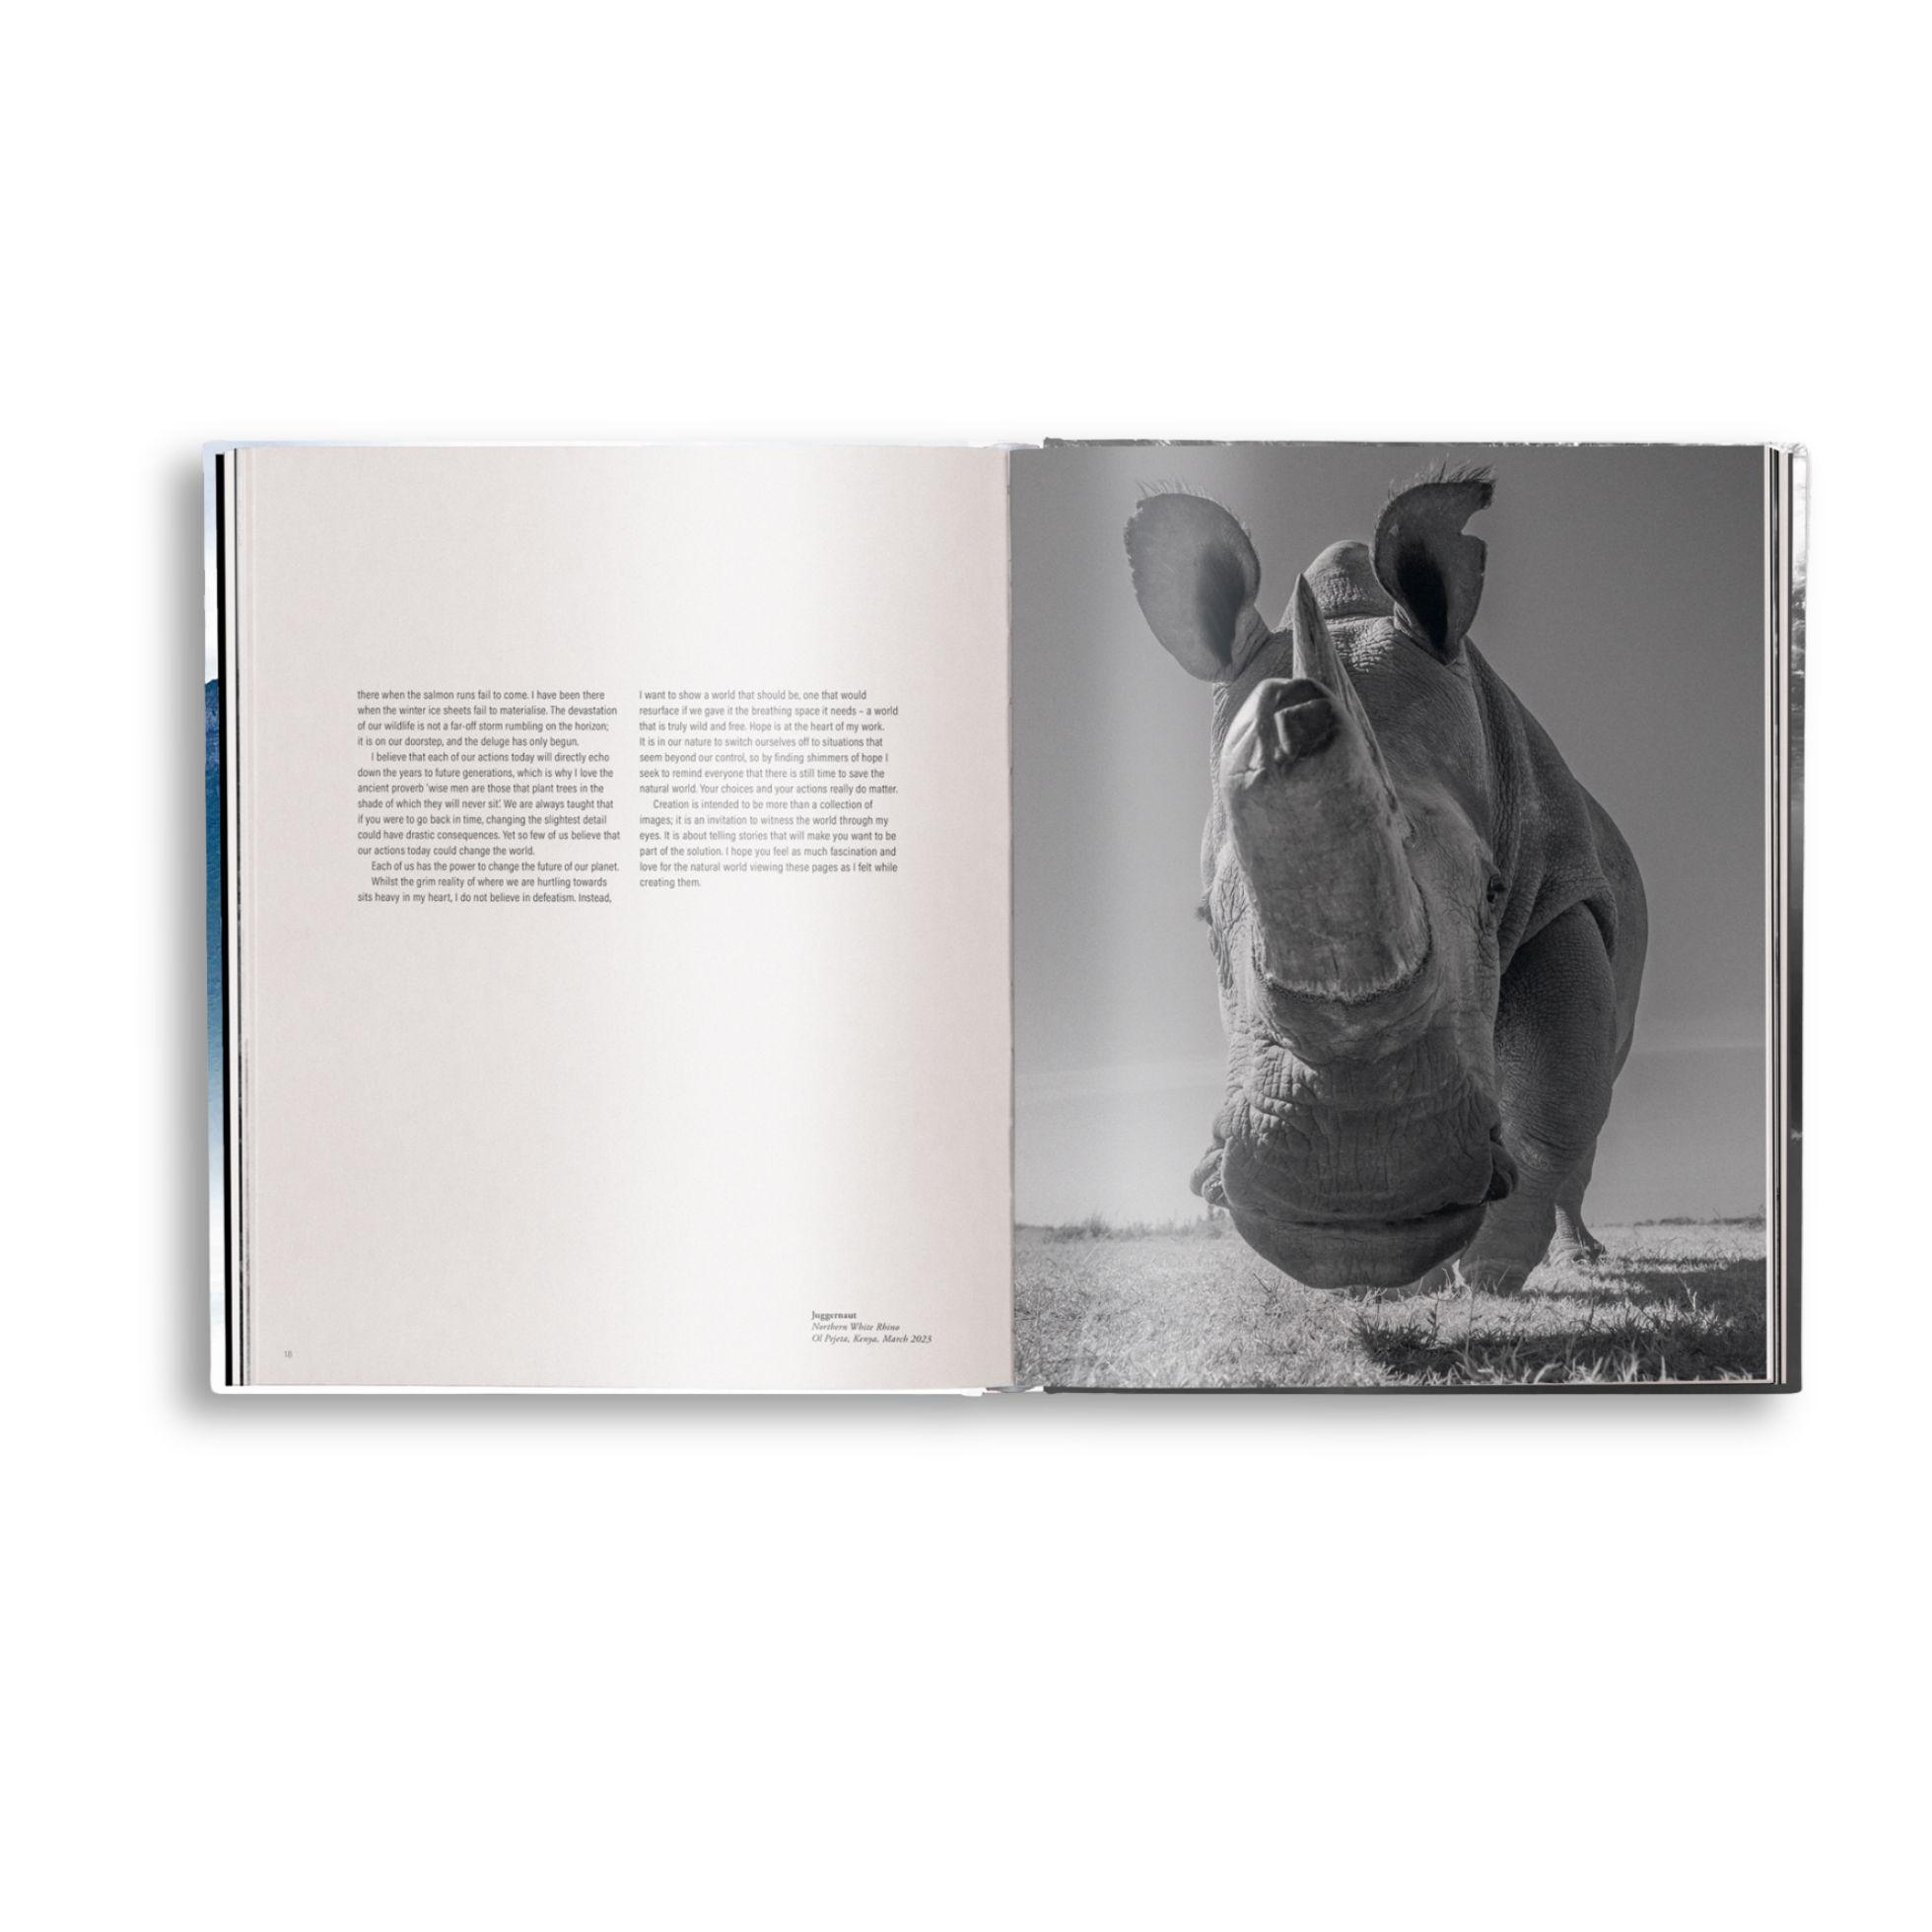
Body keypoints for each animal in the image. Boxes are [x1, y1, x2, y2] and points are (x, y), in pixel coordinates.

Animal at [1125, 469, 1647, 1293]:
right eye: (1204, 918)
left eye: (1493, 892)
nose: (1354, 1186)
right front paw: (1394, 1281)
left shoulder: (1565, 892)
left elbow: (1555, 1099)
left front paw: (1494, 1275)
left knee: (1595, 1086)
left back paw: (1567, 1260)